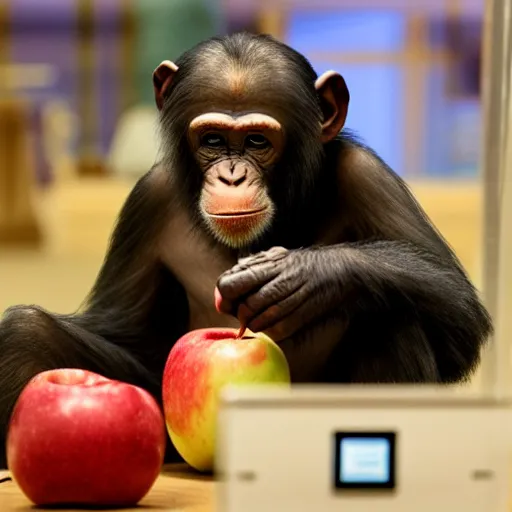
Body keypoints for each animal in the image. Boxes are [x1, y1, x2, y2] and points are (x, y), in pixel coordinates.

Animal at [0, 32, 492, 468]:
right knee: (27, 333)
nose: (232, 176)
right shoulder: (148, 199)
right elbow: (124, 329)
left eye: (257, 141)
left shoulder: (367, 175)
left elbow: (460, 316)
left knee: (391, 315)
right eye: (213, 140)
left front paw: (300, 274)